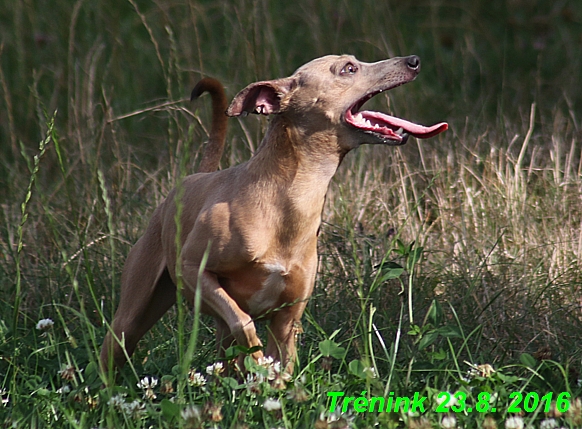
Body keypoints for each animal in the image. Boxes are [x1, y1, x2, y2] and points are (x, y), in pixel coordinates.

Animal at [100, 54, 450, 374]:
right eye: (348, 68)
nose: (414, 60)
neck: (288, 202)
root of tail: (190, 178)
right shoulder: (193, 271)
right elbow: (244, 323)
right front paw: (257, 361)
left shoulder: (287, 321)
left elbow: (282, 368)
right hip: (132, 314)